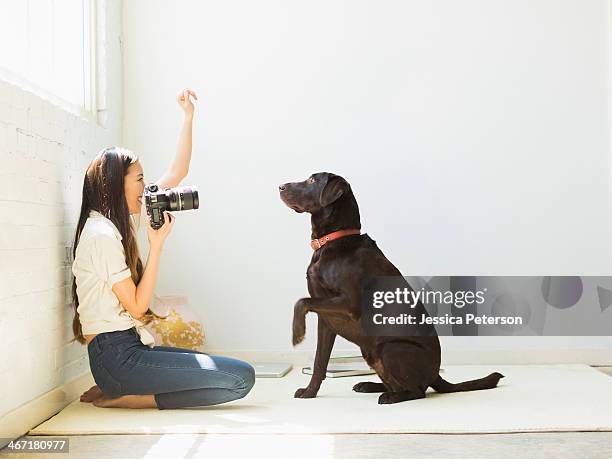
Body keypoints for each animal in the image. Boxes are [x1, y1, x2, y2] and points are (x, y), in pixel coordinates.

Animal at [280, 173, 504, 406]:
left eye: (312, 181)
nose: (280, 187)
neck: (335, 240)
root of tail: (435, 375)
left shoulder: (349, 304)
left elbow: (301, 302)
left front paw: (297, 333)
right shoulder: (326, 320)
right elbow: (319, 361)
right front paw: (310, 392)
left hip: (389, 348)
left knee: (418, 391)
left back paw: (389, 396)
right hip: (370, 351)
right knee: (398, 383)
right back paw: (370, 386)